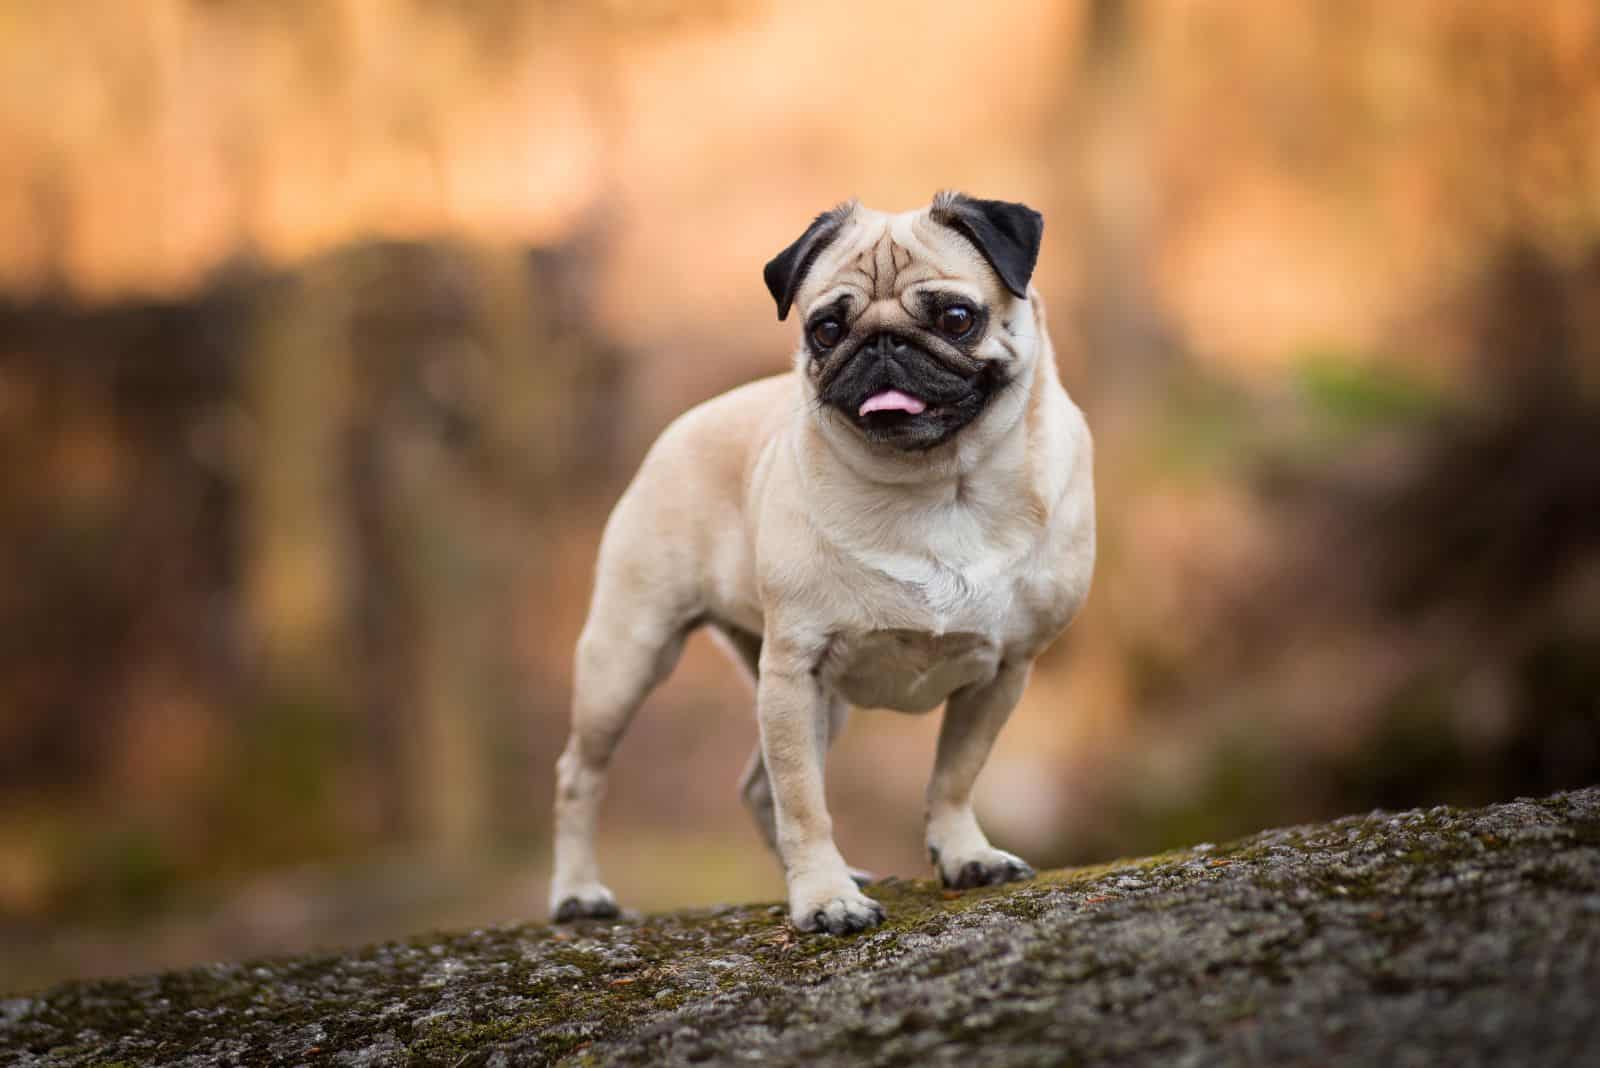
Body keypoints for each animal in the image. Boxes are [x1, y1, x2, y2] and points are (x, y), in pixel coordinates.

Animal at [553, 191, 1100, 933]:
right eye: (828, 328)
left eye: (956, 318)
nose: (882, 342)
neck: (938, 486)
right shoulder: (794, 670)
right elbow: (805, 802)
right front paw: (824, 899)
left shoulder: (1005, 670)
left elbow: (953, 778)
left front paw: (965, 857)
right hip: (629, 654)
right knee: (582, 774)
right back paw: (578, 894)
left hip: (817, 700)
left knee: (758, 787)